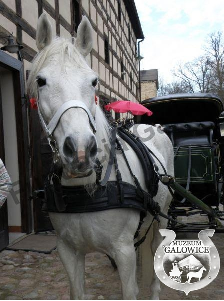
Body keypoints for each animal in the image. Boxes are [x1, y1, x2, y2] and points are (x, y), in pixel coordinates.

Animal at [28, 12, 174, 298]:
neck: (88, 188)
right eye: (41, 81)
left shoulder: (124, 251)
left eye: (94, 81)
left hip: (161, 218)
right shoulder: (68, 251)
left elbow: (130, 290)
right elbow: (77, 292)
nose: (81, 150)